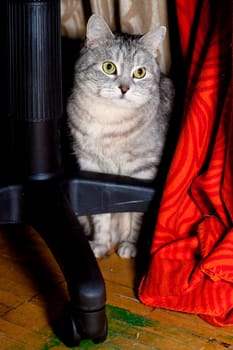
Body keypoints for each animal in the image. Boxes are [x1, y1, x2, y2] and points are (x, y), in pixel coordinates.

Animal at [66, 15, 174, 258]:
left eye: (140, 72)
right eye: (109, 67)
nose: (124, 88)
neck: (109, 123)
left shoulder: (144, 172)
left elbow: (137, 215)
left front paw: (131, 245)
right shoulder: (92, 170)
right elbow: (100, 217)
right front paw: (100, 244)